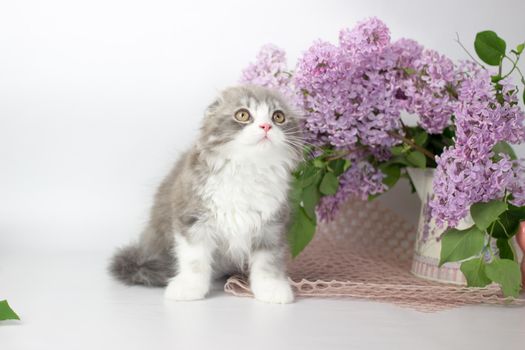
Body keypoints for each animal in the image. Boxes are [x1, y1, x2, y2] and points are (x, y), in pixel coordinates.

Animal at [108, 85, 300, 304]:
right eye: (243, 115)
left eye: (278, 116)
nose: (266, 126)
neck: (248, 169)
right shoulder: (192, 217)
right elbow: (194, 260)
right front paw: (189, 288)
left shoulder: (272, 225)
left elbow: (268, 262)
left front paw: (271, 288)